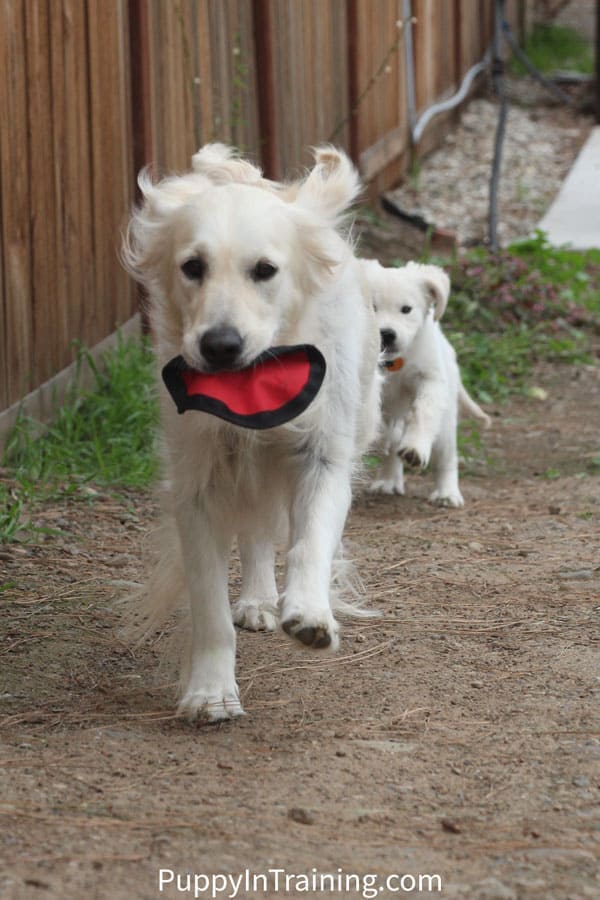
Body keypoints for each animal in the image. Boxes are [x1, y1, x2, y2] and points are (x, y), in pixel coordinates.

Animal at [123, 144, 380, 720]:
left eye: (265, 270)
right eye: (192, 267)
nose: (221, 345)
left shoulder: (321, 459)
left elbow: (310, 543)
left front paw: (310, 613)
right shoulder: (197, 480)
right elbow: (209, 603)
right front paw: (210, 691)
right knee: (256, 531)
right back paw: (259, 599)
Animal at [358, 260, 490, 510]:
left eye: (406, 309)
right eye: (372, 306)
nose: (386, 334)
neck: (393, 364)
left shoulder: (430, 380)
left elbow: (423, 413)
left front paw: (415, 447)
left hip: (446, 423)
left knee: (447, 457)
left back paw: (447, 493)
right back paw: (388, 479)